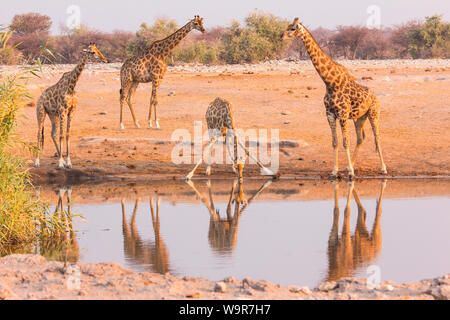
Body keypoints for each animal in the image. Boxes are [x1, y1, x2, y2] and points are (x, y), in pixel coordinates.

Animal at [34, 43, 108, 171]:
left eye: (98, 50)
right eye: (92, 52)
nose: (105, 60)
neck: (72, 86)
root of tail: (39, 98)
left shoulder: (71, 111)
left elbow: (67, 135)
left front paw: (67, 162)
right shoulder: (63, 111)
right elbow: (62, 136)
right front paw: (60, 163)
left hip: (53, 115)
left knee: (53, 134)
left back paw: (60, 159)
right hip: (41, 112)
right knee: (39, 134)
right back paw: (37, 161)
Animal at [284, 18, 388, 179]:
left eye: (293, 28)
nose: (282, 36)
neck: (330, 83)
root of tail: (375, 96)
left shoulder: (343, 114)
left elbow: (345, 142)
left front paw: (350, 172)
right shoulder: (330, 114)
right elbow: (335, 142)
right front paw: (335, 170)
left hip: (373, 113)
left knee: (377, 137)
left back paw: (382, 168)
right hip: (359, 117)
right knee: (360, 137)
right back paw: (348, 166)